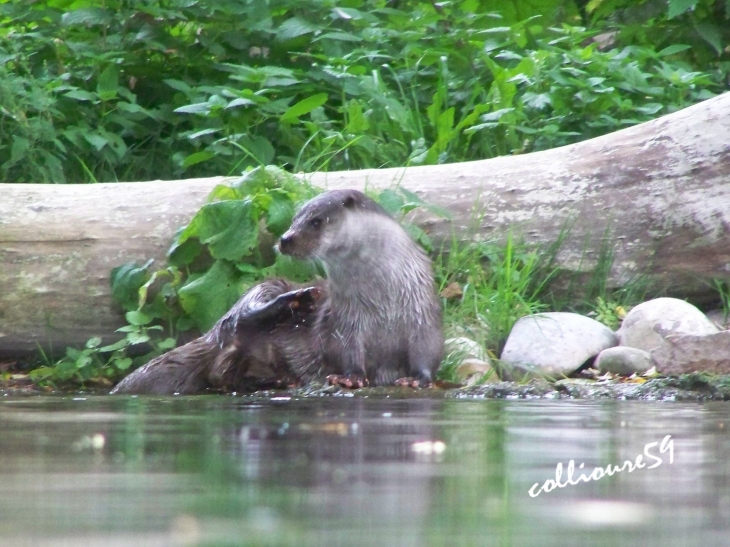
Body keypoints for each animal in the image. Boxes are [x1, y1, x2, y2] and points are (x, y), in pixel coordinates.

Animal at [110, 189, 440, 394]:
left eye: (316, 221)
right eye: (294, 218)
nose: (285, 239)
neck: (383, 296)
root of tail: (210, 336)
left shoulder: (423, 311)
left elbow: (427, 351)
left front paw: (419, 380)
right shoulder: (344, 319)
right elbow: (344, 349)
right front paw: (351, 378)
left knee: (222, 373)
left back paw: (281, 380)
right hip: (262, 288)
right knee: (237, 323)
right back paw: (294, 301)